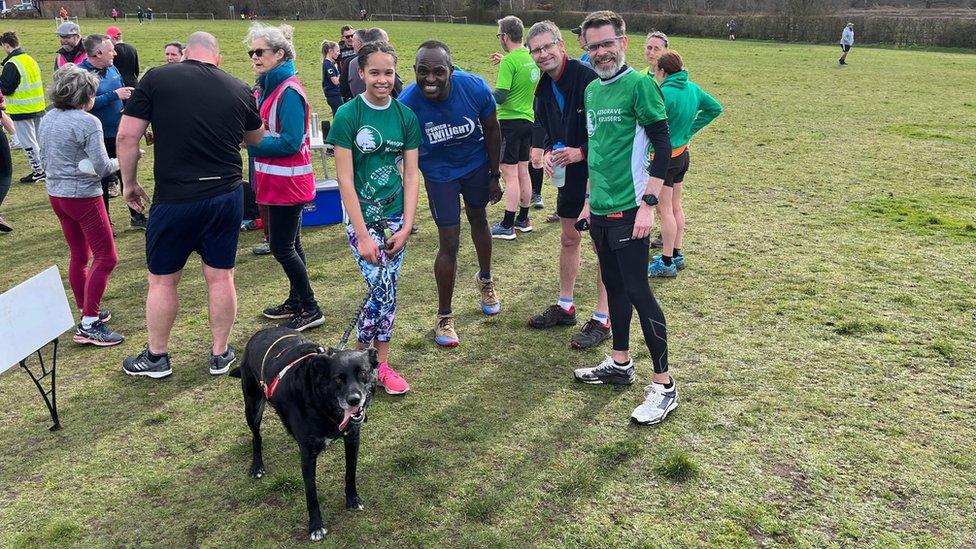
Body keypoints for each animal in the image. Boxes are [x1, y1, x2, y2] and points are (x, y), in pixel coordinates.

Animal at [231, 326, 380, 540]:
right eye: (338, 379)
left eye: (363, 373)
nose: (354, 400)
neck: (322, 403)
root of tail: (261, 332)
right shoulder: (308, 457)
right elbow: (311, 494)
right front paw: (316, 526)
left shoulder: (352, 439)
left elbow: (350, 473)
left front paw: (352, 500)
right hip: (252, 406)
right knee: (256, 437)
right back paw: (257, 466)